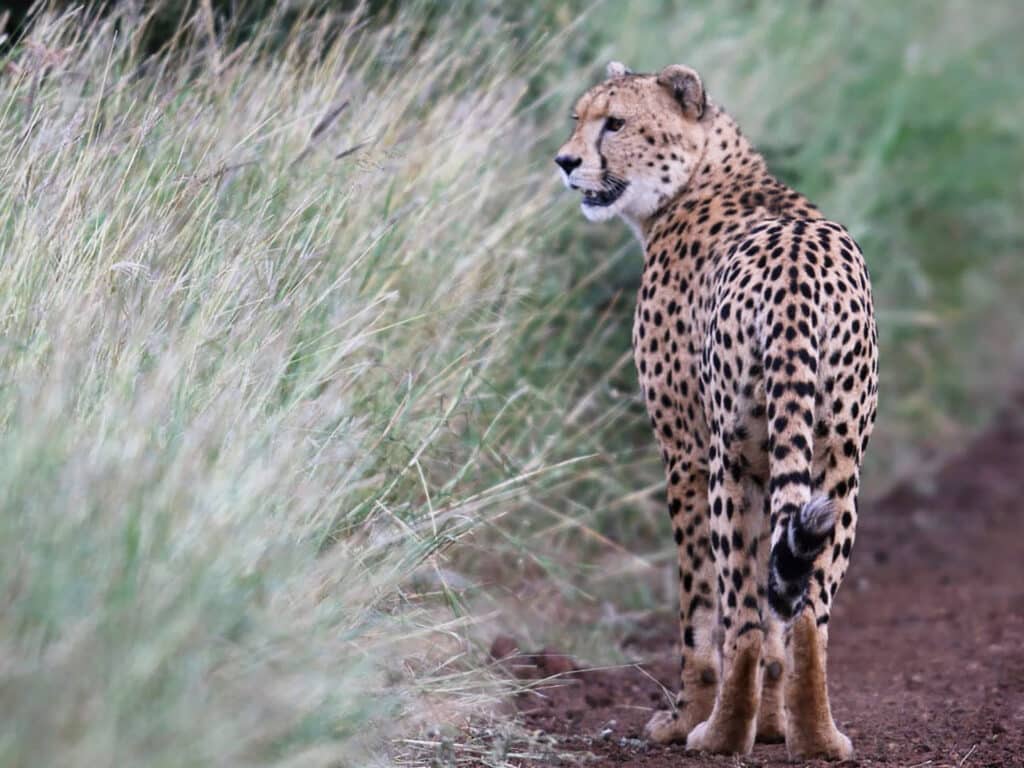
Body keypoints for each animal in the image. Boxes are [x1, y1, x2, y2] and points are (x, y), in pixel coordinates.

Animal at [555, 61, 879, 760]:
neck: (700, 176)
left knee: (743, 612)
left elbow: (702, 610)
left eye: (614, 123)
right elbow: (778, 602)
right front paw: (775, 726)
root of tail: (798, 267)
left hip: (728, 462)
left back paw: (719, 734)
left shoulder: (684, 451)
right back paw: (818, 738)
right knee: (808, 609)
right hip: (837, 465)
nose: (564, 161)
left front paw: (688, 718)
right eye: (578, 118)